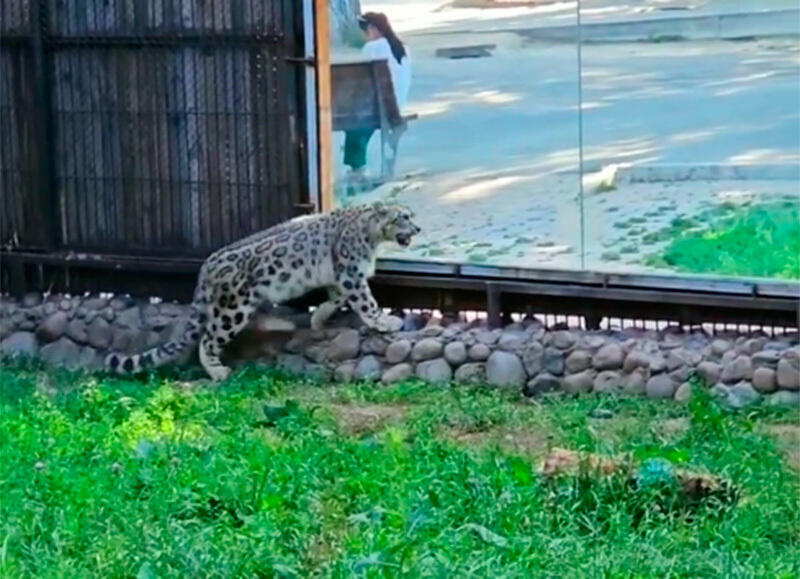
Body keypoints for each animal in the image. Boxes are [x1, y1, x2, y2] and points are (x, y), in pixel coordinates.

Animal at [105, 203, 421, 381]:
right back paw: (218, 371)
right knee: (208, 339)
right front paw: (386, 321)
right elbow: (366, 302)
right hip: (233, 309)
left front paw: (318, 319)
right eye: (402, 217)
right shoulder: (352, 274)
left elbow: (335, 298)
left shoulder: (341, 276)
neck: (371, 237)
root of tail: (206, 266)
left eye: (411, 215)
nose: (417, 228)